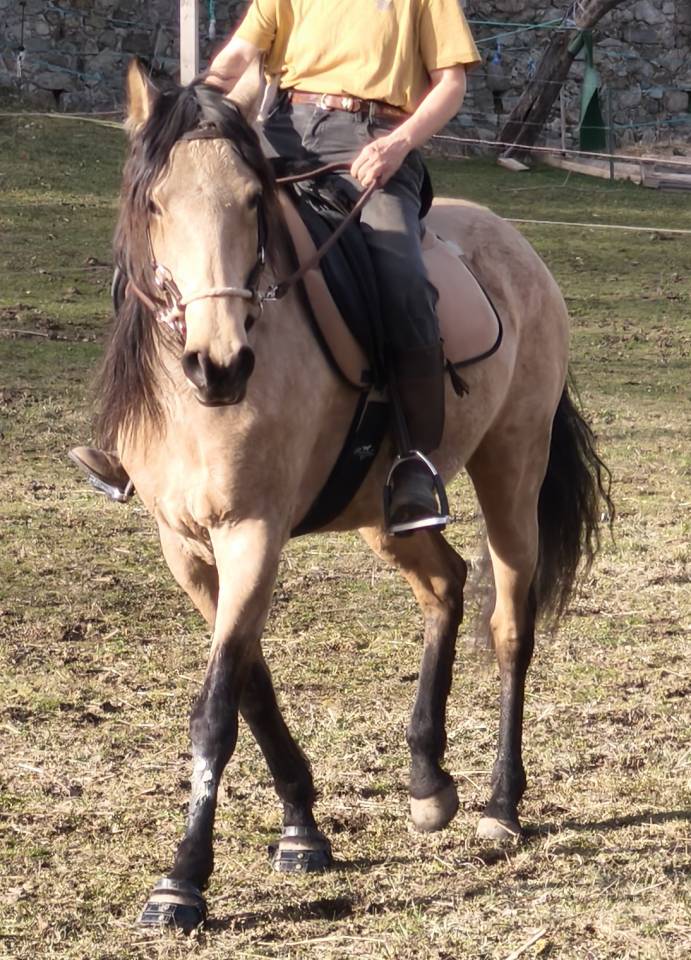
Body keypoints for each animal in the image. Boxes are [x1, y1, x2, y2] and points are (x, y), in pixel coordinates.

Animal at [93, 61, 611, 930]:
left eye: (252, 201)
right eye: (154, 202)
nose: (218, 364)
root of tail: (514, 245)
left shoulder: (252, 532)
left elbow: (216, 707)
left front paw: (183, 878)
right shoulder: (186, 548)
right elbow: (253, 689)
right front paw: (302, 832)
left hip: (512, 466)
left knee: (509, 626)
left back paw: (500, 806)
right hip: (386, 508)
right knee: (444, 584)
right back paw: (428, 781)